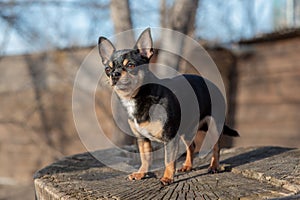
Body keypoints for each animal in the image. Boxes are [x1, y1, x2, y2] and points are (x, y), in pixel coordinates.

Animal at [98, 28, 239, 186]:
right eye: (108, 69)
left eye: (130, 66)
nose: (115, 74)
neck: (137, 97)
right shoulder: (142, 139)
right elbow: (145, 158)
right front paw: (141, 173)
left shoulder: (170, 138)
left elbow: (168, 160)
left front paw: (167, 178)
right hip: (187, 131)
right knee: (192, 146)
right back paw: (187, 166)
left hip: (214, 125)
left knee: (216, 148)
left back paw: (214, 166)